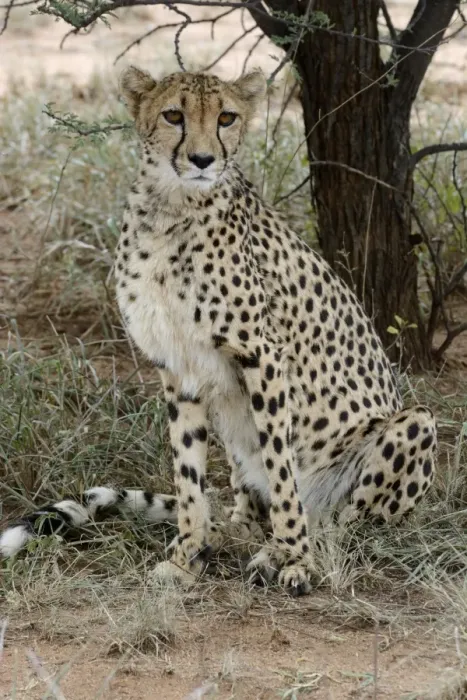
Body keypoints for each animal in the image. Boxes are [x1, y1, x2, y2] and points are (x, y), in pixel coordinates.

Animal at [0, 66, 437, 595]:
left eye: (226, 118)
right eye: (174, 115)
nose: (203, 159)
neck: (172, 208)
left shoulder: (262, 356)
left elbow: (281, 465)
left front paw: (295, 559)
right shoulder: (178, 364)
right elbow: (188, 472)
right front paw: (188, 556)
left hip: (414, 425)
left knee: (341, 523)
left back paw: (286, 545)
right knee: (247, 506)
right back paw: (238, 531)